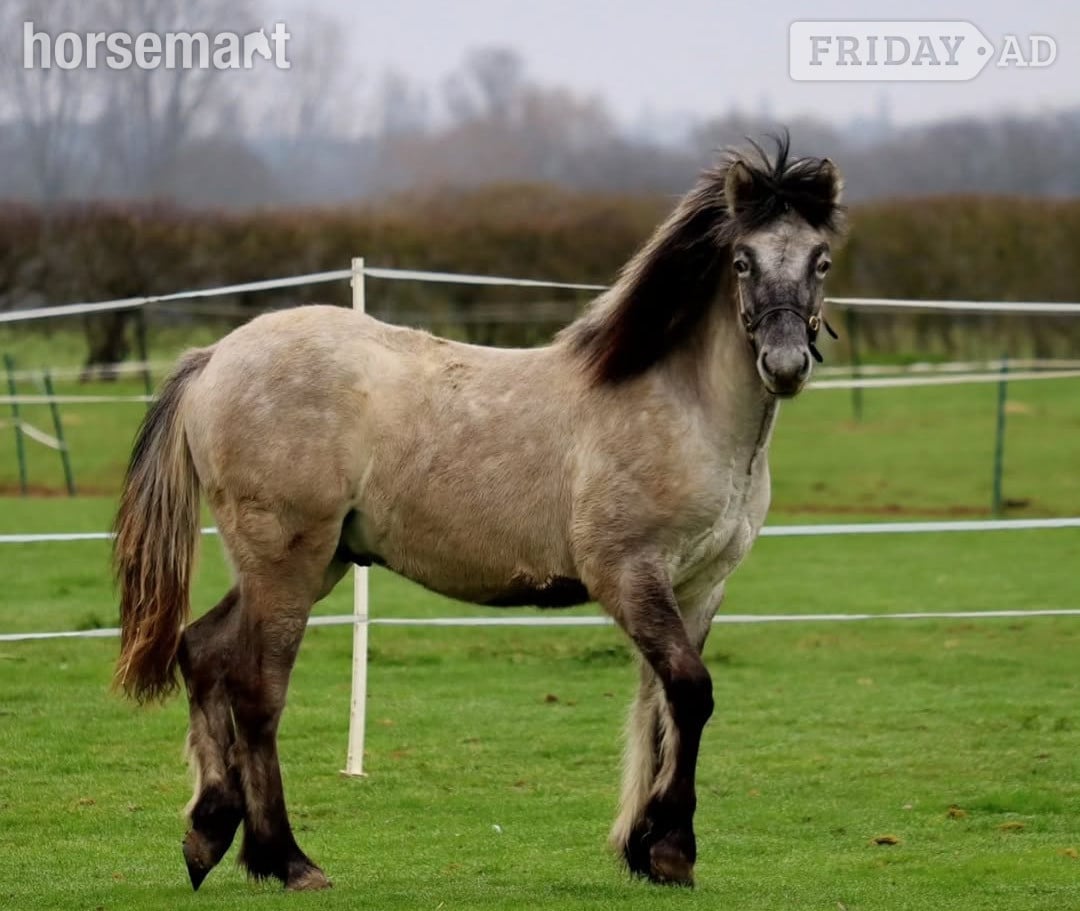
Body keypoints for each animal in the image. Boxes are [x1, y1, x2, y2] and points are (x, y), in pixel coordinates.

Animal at [113, 135, 845, 892]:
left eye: (821, 258)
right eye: (742, 260)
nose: (785, 363)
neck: (680, 407)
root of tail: (215, 357)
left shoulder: (700, 586)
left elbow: (662, 707)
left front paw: (647, 848)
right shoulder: (630, 575)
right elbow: (690, 692)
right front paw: (670, 848)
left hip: (309, 564)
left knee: (202, 650)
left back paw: (208, 833)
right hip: (287, 561)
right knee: (257, 689)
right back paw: (284, 858)